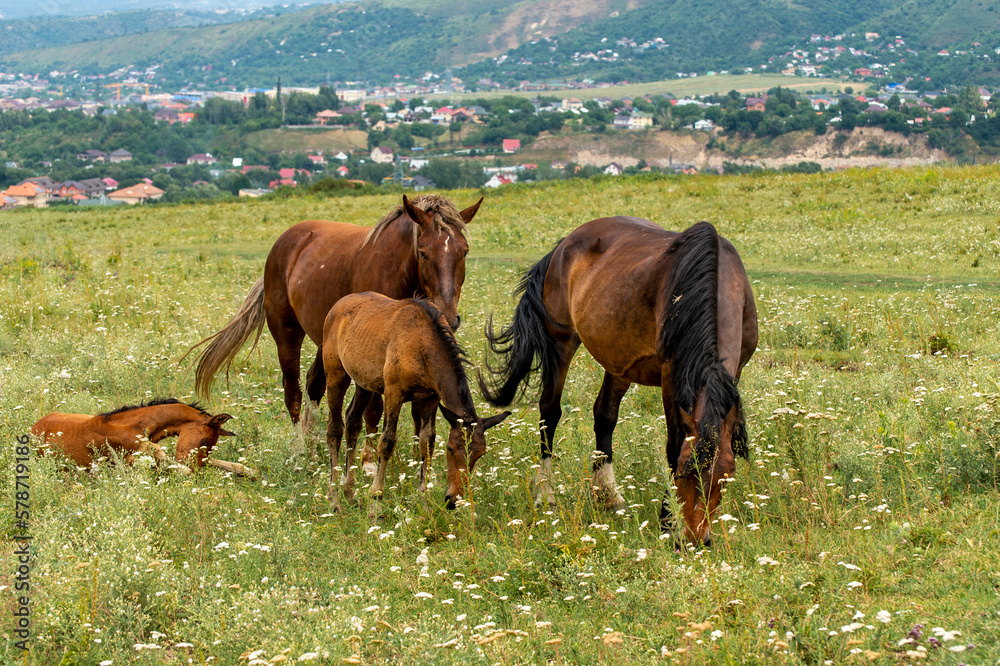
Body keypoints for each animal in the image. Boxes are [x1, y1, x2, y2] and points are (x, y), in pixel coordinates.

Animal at [190, 192, 484, 452]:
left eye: (464, 252)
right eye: (423, 253)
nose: (450, 316)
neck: (399, 270)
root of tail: (284, 242)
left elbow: (418, 413)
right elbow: (373, 411)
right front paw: (369, 463)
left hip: (326, 341)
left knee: (314, 384)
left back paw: (312, 446)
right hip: (287, 333)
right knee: (293, 392)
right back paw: (299, 451)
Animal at [322, 290, 508, 508]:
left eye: (479, 454)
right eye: (451, 449)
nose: (453, 500)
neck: (422, 343)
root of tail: (337, 305)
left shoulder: (431, 397)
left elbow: (427, 442)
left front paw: (424, 498)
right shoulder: (393, 392)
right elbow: (387, 441)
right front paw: (376, 496)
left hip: (363, 382)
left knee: (352, 422)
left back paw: (349, 492)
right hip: (335, 375)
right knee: (334, 428)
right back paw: (334, 497)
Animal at [482, 218, 756, 544]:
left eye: (726, 476)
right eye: (682, 472)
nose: (695, 538)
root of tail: (566, 243)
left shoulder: (733, 373)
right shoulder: (670, 377)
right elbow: (673, 443)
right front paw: (667, 521)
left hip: (618, 360)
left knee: (604, 415)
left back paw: (609, 496)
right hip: (561, 341)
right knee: (549, 413)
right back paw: (546, 494)